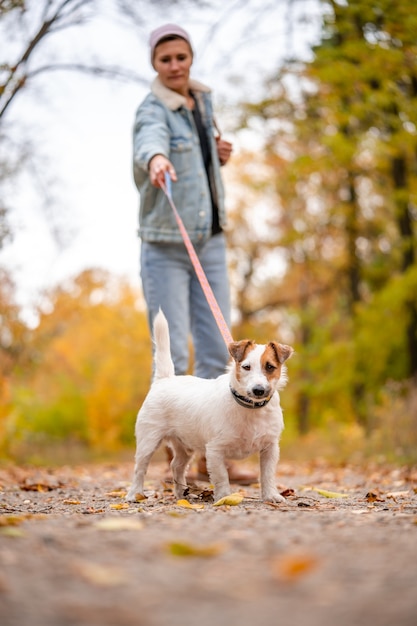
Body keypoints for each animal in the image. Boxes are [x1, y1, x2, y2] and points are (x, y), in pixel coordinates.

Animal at [127, 310, 292, 502]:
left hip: (184, 446)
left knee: (177, 466)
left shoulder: (270, 448)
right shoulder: (214, 450)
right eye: (246, 367)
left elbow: (267, 474)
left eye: (270, 367)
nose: (258, 390)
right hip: (148, 441)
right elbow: (221, 476)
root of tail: (164, 379)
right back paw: (134, 494)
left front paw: (271, 495)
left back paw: (180, 494)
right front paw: (224, 497)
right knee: (140, 468)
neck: (250, 408)